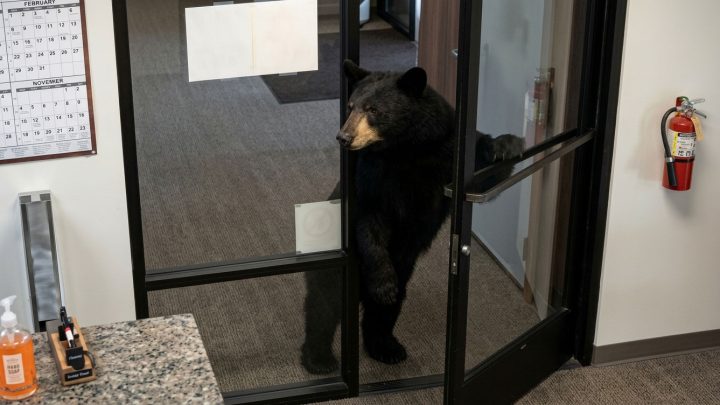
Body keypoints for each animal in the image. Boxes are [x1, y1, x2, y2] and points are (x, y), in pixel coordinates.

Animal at [301, 60, 523, 374]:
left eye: (373, 109)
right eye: (351, 105)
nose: (344, 137)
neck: (406, 148)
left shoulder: (447, 150)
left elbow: (480, 172)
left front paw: (506, 145)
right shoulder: (370, 175)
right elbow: (369, 220)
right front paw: (383, 283)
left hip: (405, 272)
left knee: (384, 310)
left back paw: (386, 347)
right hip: (336, 266)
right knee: (324, 304)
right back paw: (319, 358)